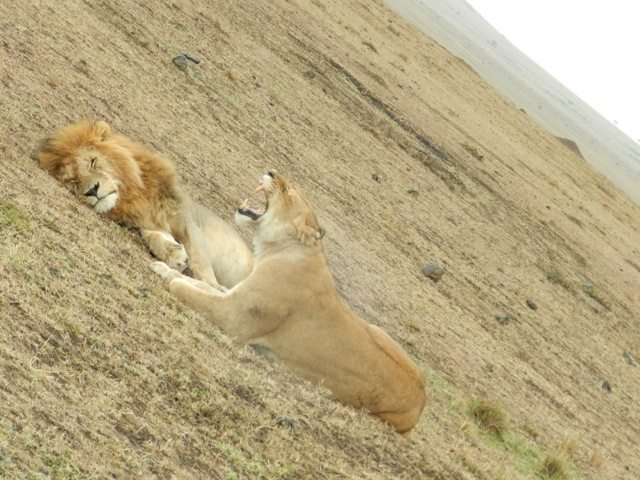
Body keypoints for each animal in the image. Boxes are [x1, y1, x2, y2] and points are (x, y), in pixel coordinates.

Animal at [37, 120, 253, 288]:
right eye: (73, 181)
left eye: (93, 162)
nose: (92, 190)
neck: (131, 196)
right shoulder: (145, 221)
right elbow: (153, 236)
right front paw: (175, 256)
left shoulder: (184, 217)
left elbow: (199, 258)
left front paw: (208, 283)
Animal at [151, 170, 427, 433]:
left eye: (287, 191)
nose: (271, 172)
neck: (279, 250)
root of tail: (421, 403)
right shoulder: (232, 297)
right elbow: (203, 285)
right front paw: (166, 268)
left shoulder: (232, 317)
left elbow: (184, 289)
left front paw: (168, 274)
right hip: (379, 331)